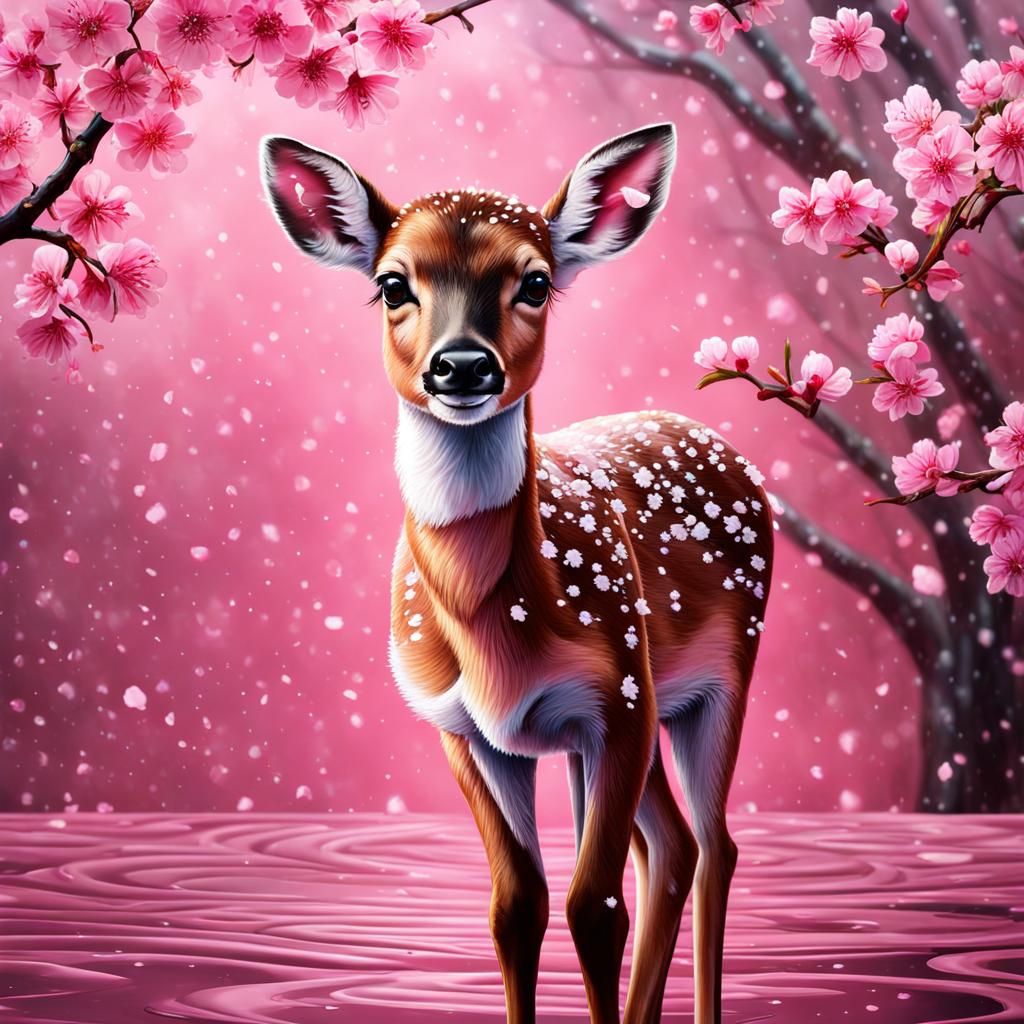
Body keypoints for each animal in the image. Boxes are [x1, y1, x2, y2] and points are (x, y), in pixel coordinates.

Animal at [260, 123, 773, 1024]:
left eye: (535, 281)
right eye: (391, 284)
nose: (463, 366)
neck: (490, 626)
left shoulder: (618, 703)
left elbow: (594, 907)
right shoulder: (464, 730)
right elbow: (516, 908)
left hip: (717, 677)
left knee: (713, 846)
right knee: (670, 848)